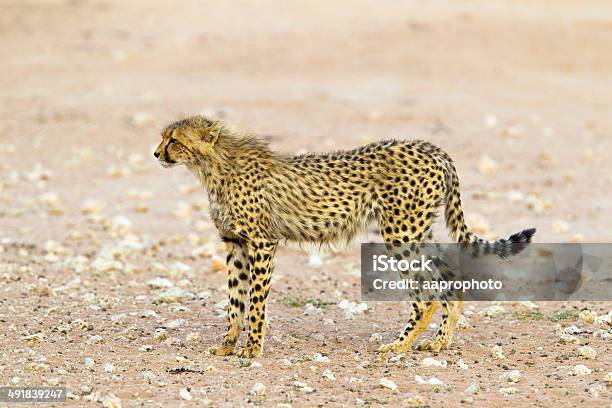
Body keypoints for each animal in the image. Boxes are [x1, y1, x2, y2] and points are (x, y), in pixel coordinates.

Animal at [154, 115, 536, 356]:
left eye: (174, 140)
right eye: (163, 137)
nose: (156, 153)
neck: (215, 165)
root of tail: (430, 147)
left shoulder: (262, 243)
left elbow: (256, 303)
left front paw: (252, 349)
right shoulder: (235, 244)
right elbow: (235, 301)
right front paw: (227, 345)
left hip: (401, 232)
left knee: (424, 294)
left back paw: (399, 345)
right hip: (418, 229)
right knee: (449, 279)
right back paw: (438, 343)